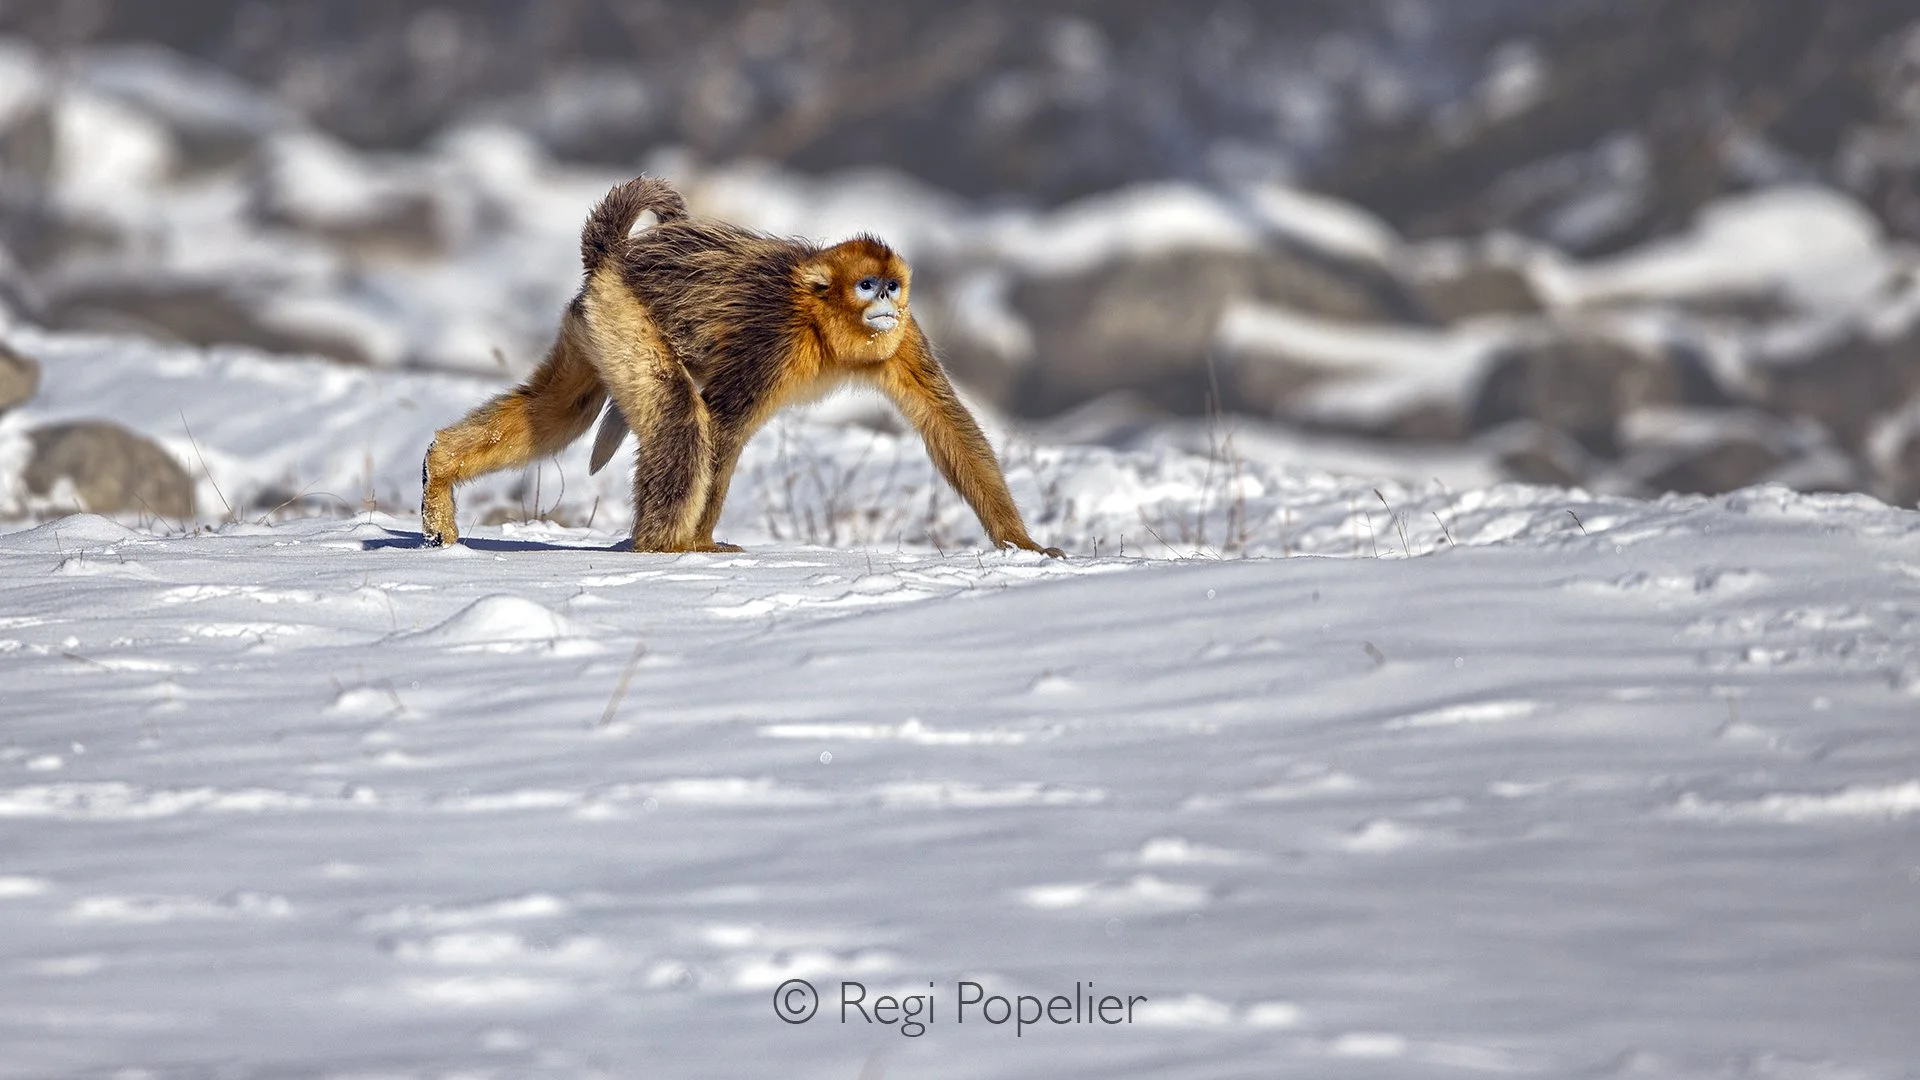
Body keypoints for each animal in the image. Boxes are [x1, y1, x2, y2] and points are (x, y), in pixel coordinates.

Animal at [420, 176, 1064, 558]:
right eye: (866, 285)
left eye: (891, 286)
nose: (886, 301)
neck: (820, 323)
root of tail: (612, 256)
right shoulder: (773, 338)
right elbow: (723, 424)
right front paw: (701, 544)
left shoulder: (903, 339)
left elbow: (946, 421)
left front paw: (1023, 546)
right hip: (621, 316)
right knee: (678, 413)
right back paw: (663, 546)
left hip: (592, 325)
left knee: (557, 410)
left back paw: (441, 472)